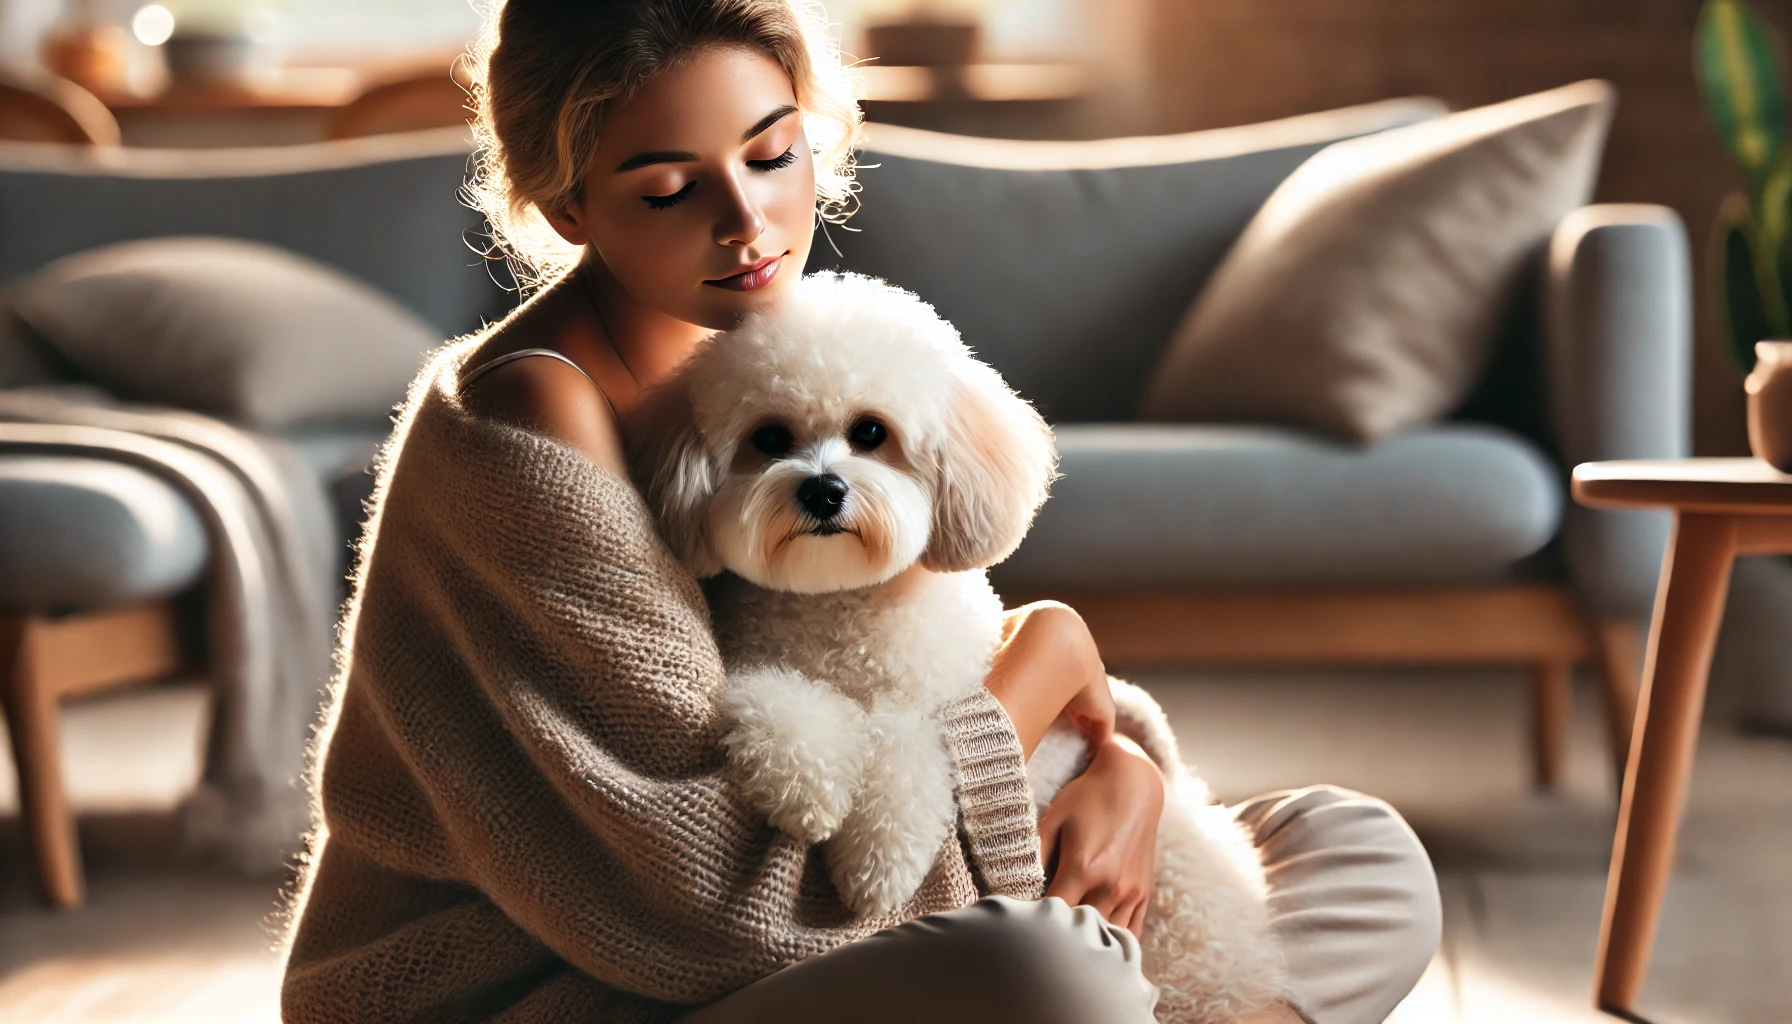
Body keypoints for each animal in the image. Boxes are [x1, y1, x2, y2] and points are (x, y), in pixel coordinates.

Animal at [627, 274, 1290, 1024]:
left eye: (870, 432)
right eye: (768, 438)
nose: (823, 490)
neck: (840, 602)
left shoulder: (939, 700)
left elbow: (906, 747)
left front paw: (878, 859)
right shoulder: (759, 667)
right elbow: (782, 705)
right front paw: (811, 791)